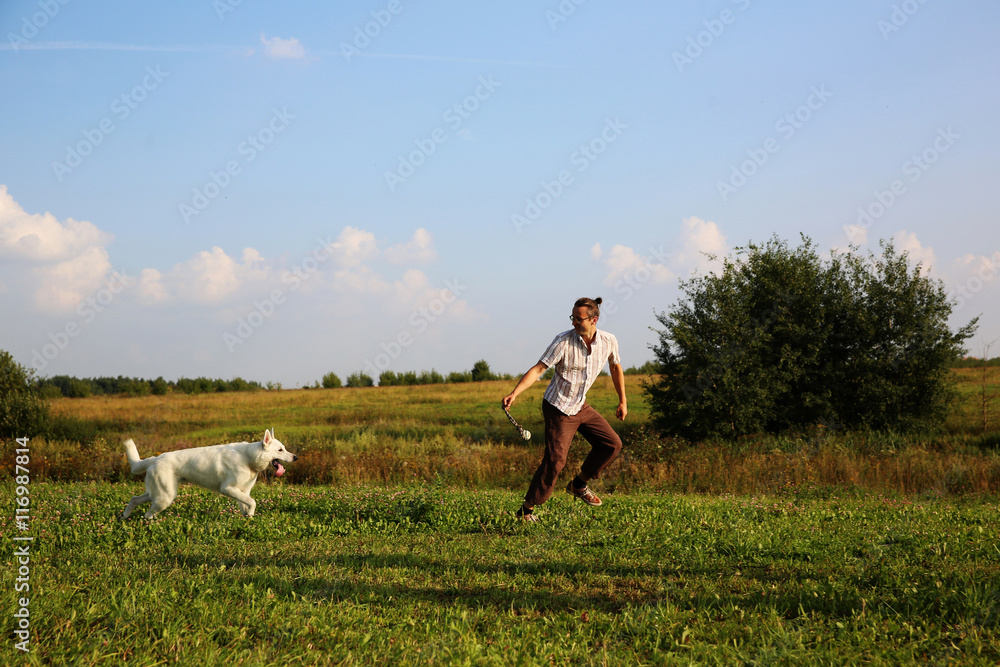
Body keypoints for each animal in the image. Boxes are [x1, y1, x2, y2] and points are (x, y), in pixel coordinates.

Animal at [122, 430, 294, 520]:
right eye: (280, 450)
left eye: (284, 448)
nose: (296, 457)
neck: (248, 457)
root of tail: (154, 459)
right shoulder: (228, 488)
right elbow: (253, 502)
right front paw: (250, 515)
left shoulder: (243, 491)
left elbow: (246, 504)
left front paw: (247, 519)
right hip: (165, 497)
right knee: (147, 514)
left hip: (157, 494)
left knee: (134, 499)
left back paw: (124, 516)